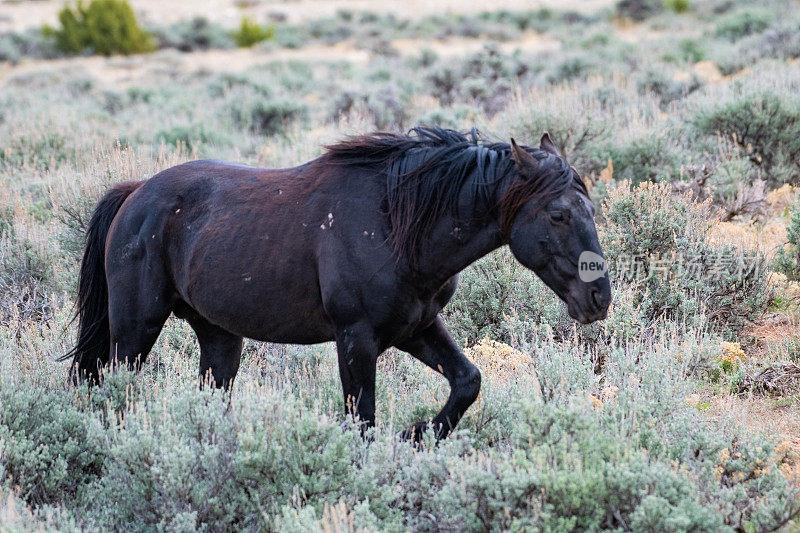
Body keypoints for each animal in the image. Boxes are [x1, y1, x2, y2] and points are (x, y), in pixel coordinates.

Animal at [64, 127, 612, 438]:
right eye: (559, 214)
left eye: (591, 207)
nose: (599, 298)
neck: (396, 223)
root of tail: (137, 193)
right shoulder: (356, 339)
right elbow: (361, 421)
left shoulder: (416, 328)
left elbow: (468, 382)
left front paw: (417, 435)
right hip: (135, 331)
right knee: (113, 387)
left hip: (219, 337)